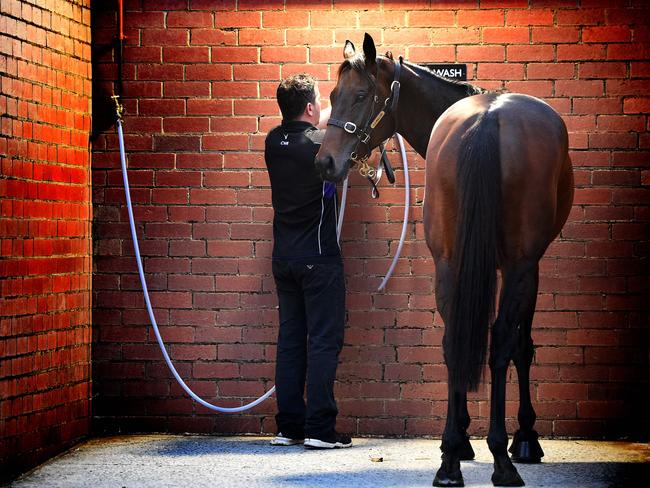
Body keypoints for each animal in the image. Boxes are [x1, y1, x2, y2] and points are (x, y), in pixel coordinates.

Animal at [314, 32, 572, 486]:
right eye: (332, 95)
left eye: (360, 95)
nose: (326, 162)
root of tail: (488, 119)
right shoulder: (530, 266)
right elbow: (520, 346)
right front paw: (524, 438)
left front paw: (462, 441)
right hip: (516, 266)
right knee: (499, 343)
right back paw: (501, 460)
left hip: (452, 263)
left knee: (455, 342)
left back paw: (451, 460)